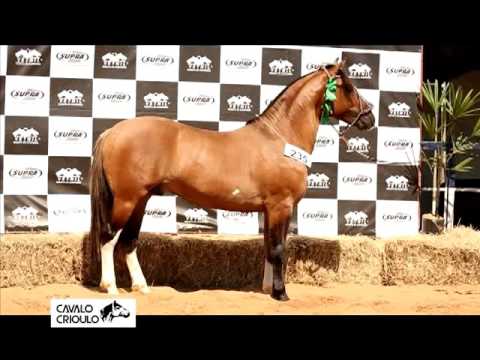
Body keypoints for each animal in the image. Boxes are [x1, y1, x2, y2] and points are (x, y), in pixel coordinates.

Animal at [89, 59, 376, 300]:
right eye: (348, 87)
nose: (370, 118)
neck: (280, 139)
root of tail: (113, 132)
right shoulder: (281, 206)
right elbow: (279, 249)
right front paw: (281, 293)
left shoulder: (270, 210)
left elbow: (269, 247)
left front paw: (267, 288)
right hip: (127, 199)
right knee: (109, 237)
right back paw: (110, 287)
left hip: (141, 200)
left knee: (128, 242)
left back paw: (141, 286)